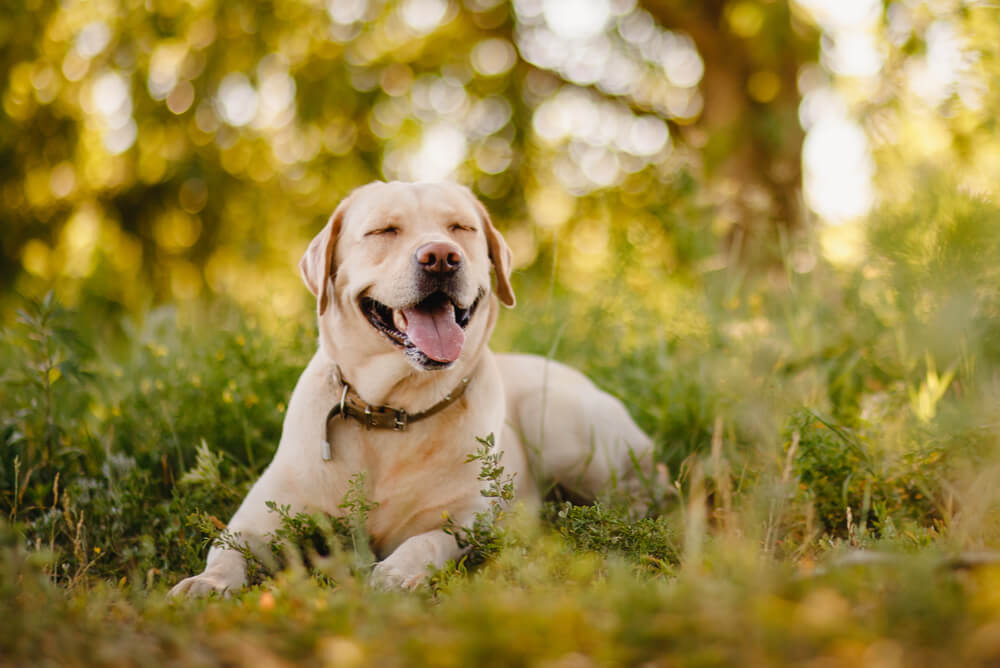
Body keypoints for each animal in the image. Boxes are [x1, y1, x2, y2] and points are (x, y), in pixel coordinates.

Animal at [169, 179, 660, 596]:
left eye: (460, 228)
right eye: (384, 230)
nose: (441, 256)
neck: (391, 412)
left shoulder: (466, 519)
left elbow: (427, 540)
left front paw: (396, 572)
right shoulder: (258, 518)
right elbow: (226, 550)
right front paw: (205, 584)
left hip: (561, 423)